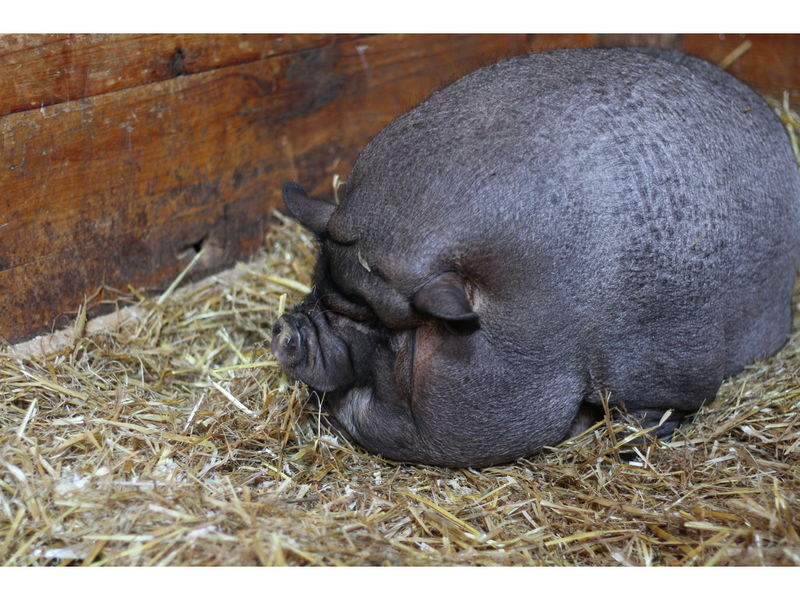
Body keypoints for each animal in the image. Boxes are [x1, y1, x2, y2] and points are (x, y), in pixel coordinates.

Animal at [271, 47, 800, 468]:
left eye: (390, 331)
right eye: (319, 283)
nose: (286, 328)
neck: (559, 312)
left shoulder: (671, 351)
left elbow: (656, 410)